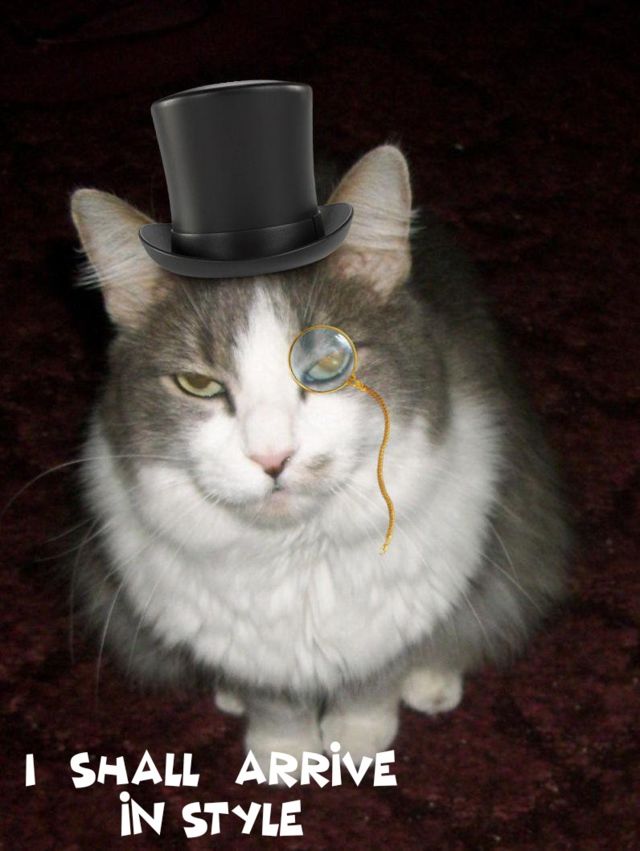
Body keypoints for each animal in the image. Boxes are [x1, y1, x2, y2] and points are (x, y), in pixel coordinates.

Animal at [69, 144, 571, 767]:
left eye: (329, 363)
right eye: (197, 385)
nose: (272, 457)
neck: (297, 556)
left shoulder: (391, 622)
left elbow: (372, 684)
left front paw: (358, 741)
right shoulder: (247, 648)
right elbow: (275, 704)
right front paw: (282, 754)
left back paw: (432, 684)